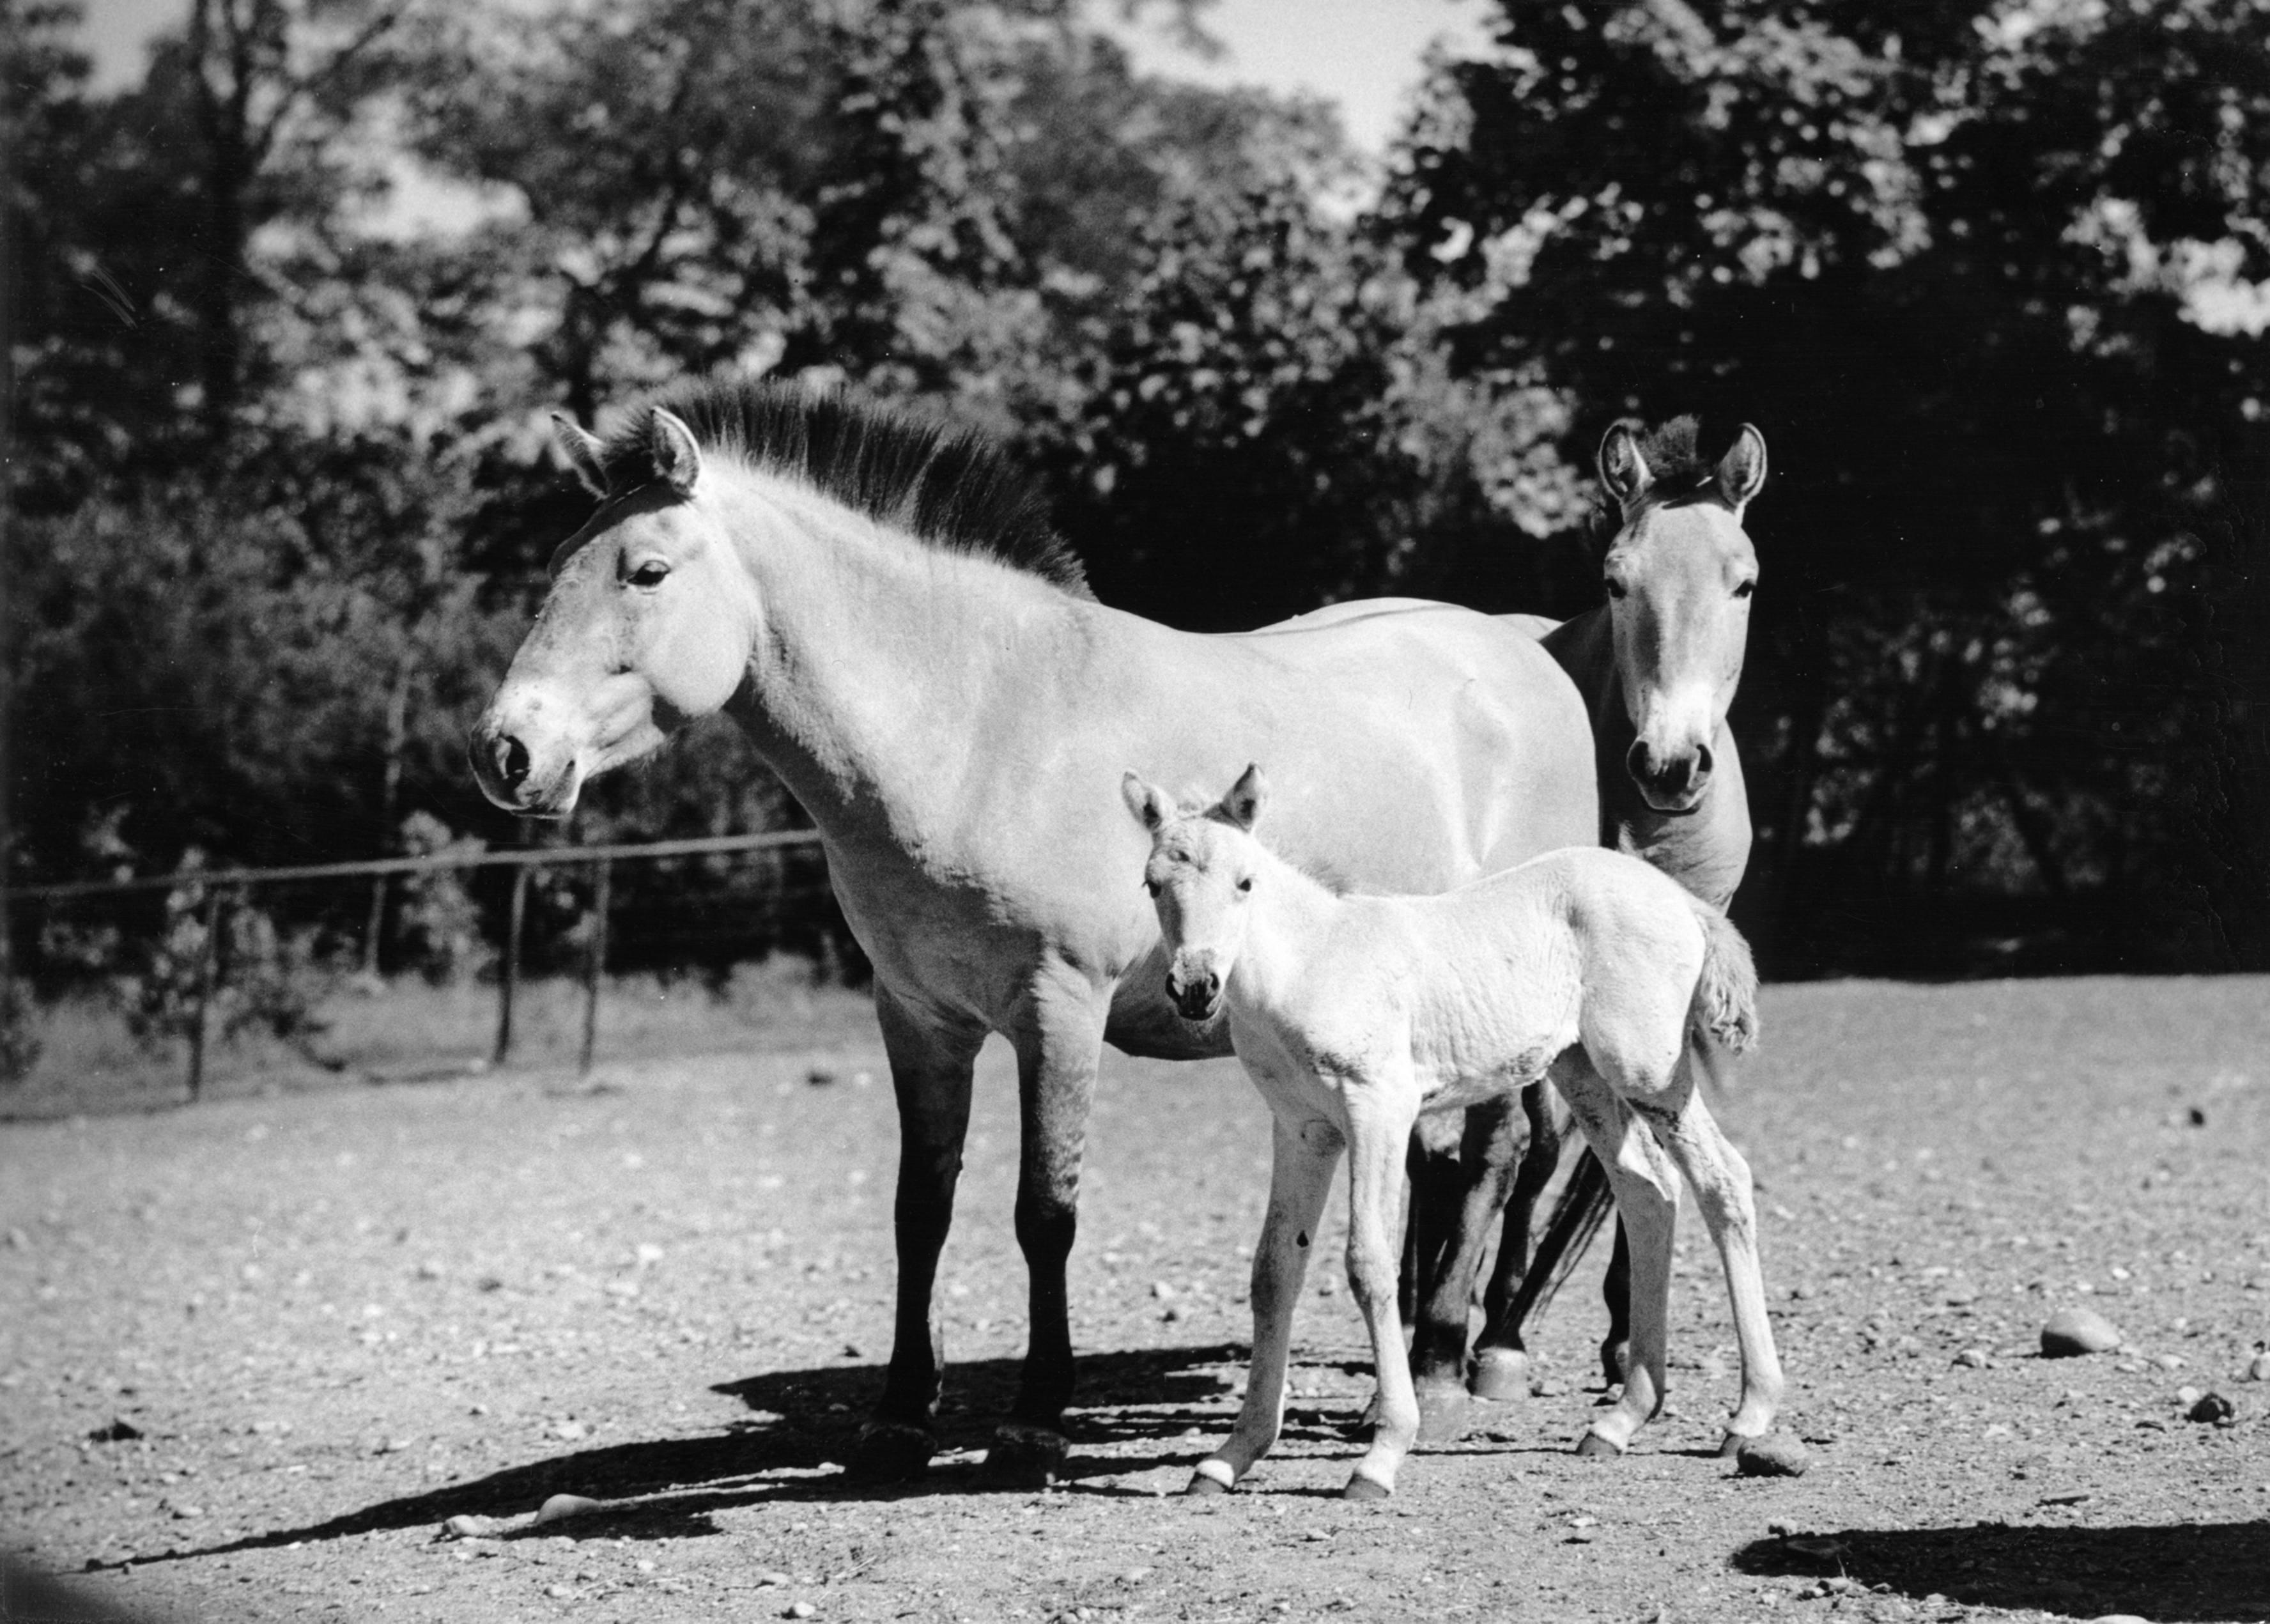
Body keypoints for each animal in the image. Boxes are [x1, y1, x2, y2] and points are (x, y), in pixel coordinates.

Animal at [461, 382, 1598, 1490]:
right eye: (560, 568)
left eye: (646, 571)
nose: (505, 752)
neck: (977, 726)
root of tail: (1526, 655)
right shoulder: (918, 1018)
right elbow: (920, 1209)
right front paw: (899, 1413)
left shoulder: (1060, 1011)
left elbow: (1044, 1212)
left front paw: (1036, 1419)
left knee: (1500, 1153)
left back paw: (1448, 1367)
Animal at [1125, 768, 1779, 1508]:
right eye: (1152, 883)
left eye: (1245, 881)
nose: (1195, 986)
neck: (1311, 963)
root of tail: (1683, 902)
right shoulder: (1303, 1129)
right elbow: (1273, 1271)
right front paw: (1232, 1456)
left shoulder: (1379, 1109)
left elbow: (1369, 1264)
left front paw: (1382, 1454)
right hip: (1582, 1071)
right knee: (1648, 1191)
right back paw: (1622, 1418)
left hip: (1646, 1067)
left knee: (1722, 1178)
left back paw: (1749, 1415)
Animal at [1398, 413, 1770, 1426]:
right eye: (1616, 578)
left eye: (1744, 580)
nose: (1672, 765)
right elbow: (1517, 1146)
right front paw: (1476, 1339)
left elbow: (1615, 1158)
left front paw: (1617, 1338)